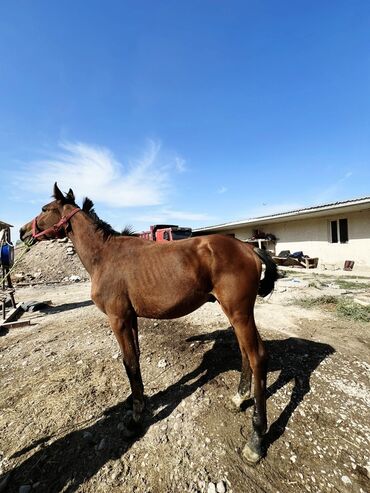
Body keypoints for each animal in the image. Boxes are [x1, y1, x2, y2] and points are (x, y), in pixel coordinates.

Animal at [18, 183, 276, 464]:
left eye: (45, 209)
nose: (21, 232)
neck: (104, 256)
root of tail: (249, 249)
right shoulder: (130, 318)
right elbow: (135, 359)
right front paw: (136, 400)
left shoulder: (118, 319)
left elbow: (129, 362)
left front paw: (134, 420)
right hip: (235, 313)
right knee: (245, 353)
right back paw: (239, 398)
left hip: (239, 312)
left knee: (258, 356)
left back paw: (256, 439)